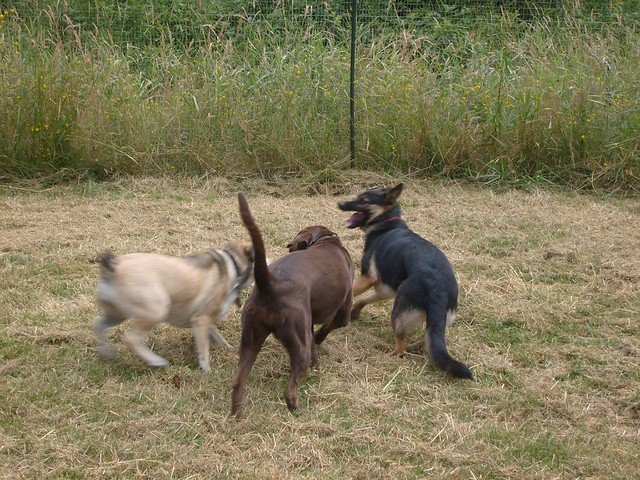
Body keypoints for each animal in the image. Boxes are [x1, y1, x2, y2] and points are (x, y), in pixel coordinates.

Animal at [94, 242, 254, 372]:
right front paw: (207, 370)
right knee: (130, 339)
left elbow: (217, 335)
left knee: (98, 326)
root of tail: (112, 268)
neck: (232, 264)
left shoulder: (201, 321)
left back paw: (107, 352)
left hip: (117, 314)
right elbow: (204, 349)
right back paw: (156, 361)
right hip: (156, 310)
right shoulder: (201, 319)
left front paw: (228, 348)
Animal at [231, 193, 354, 418]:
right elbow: (327, 328)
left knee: (238, 381)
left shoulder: (308, 323)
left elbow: (313, 343)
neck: (327, 241)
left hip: (251, 339)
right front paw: (320, 339)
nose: (289, 245)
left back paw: (238, 416)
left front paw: (317, 364)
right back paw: (297, 410)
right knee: (290, 389)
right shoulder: (343, 312)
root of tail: (270, 284)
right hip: (296, 343)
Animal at [338, 183, 472, 379]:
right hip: (433, 318)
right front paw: (354, 312)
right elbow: (364, 298)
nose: (340, 203)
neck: (386, 223)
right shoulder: (384, 288)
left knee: (401, 347)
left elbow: (351, 290)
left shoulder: (368, 277)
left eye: (363, 200)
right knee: (431, 339)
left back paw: (390, 357)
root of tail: (438, 290)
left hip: (399, 313)